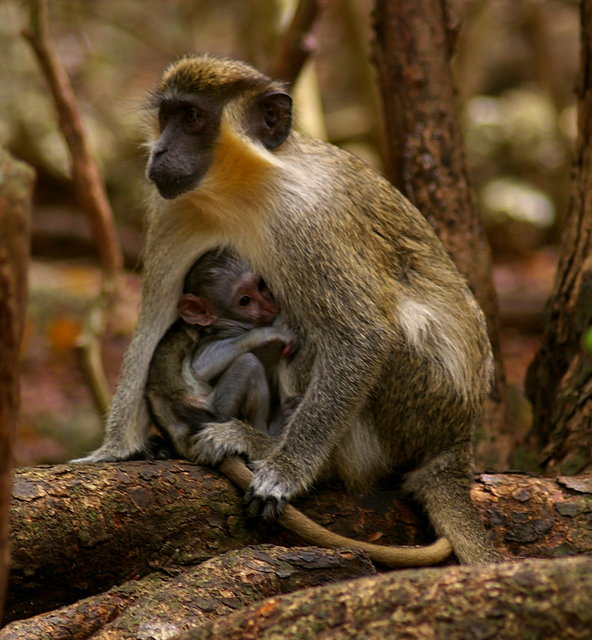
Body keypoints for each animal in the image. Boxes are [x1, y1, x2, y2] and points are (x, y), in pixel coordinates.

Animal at [146, 248, 450, 568]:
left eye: (261, 286)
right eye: (245, 300)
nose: (269, 304)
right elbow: (202, 368)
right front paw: (270, 333)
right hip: (217, 409)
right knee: (248, 364)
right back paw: (265, 434)